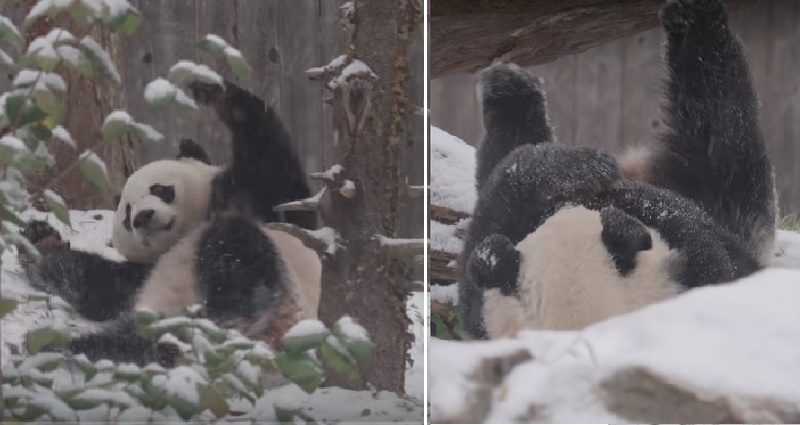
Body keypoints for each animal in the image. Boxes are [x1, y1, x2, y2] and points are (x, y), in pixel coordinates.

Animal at [19, 79, 322, 365]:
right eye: (127, 215)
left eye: (159, 189)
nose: (142, 217)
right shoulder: (140, 274)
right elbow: (96, 282)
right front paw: (41, 239)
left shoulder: (257, 200)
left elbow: (274, 169)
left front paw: (214, 91)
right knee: (130, 338)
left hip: (282, 308)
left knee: (237, 253)